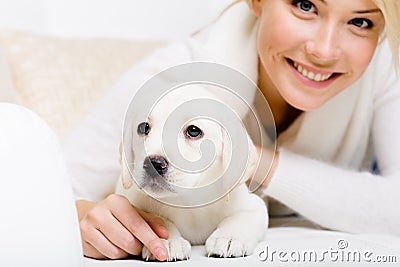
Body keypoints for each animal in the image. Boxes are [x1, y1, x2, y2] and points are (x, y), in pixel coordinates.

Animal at [117, 86, 270, 262]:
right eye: (143, 128)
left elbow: (242, 218)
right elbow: (159, 219)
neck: (190, 201)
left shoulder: (254, 206)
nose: (153, 164)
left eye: (193, 131)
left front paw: (229, 236)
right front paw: (168, 240)